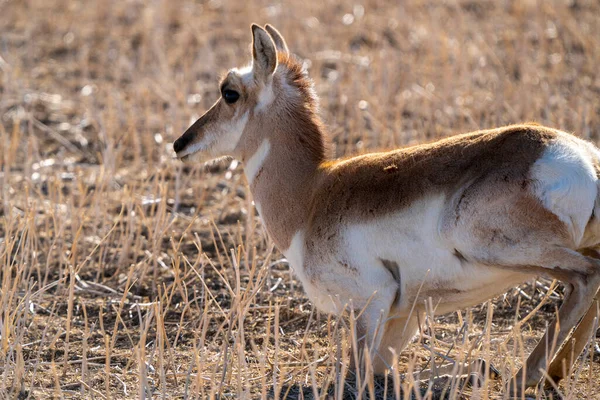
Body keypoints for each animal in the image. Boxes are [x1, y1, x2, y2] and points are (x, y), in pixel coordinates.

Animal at [173, 23, 600, 392]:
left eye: (229, 91)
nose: (180, 143)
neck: (311, 195)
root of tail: (580, 156)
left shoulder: (371, 305)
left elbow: (356, 375)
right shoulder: (407, 313)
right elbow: (395, 371)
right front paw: (479, 370)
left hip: (498, 247)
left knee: (586, 276)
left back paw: (526, 378)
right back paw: (551, 374)